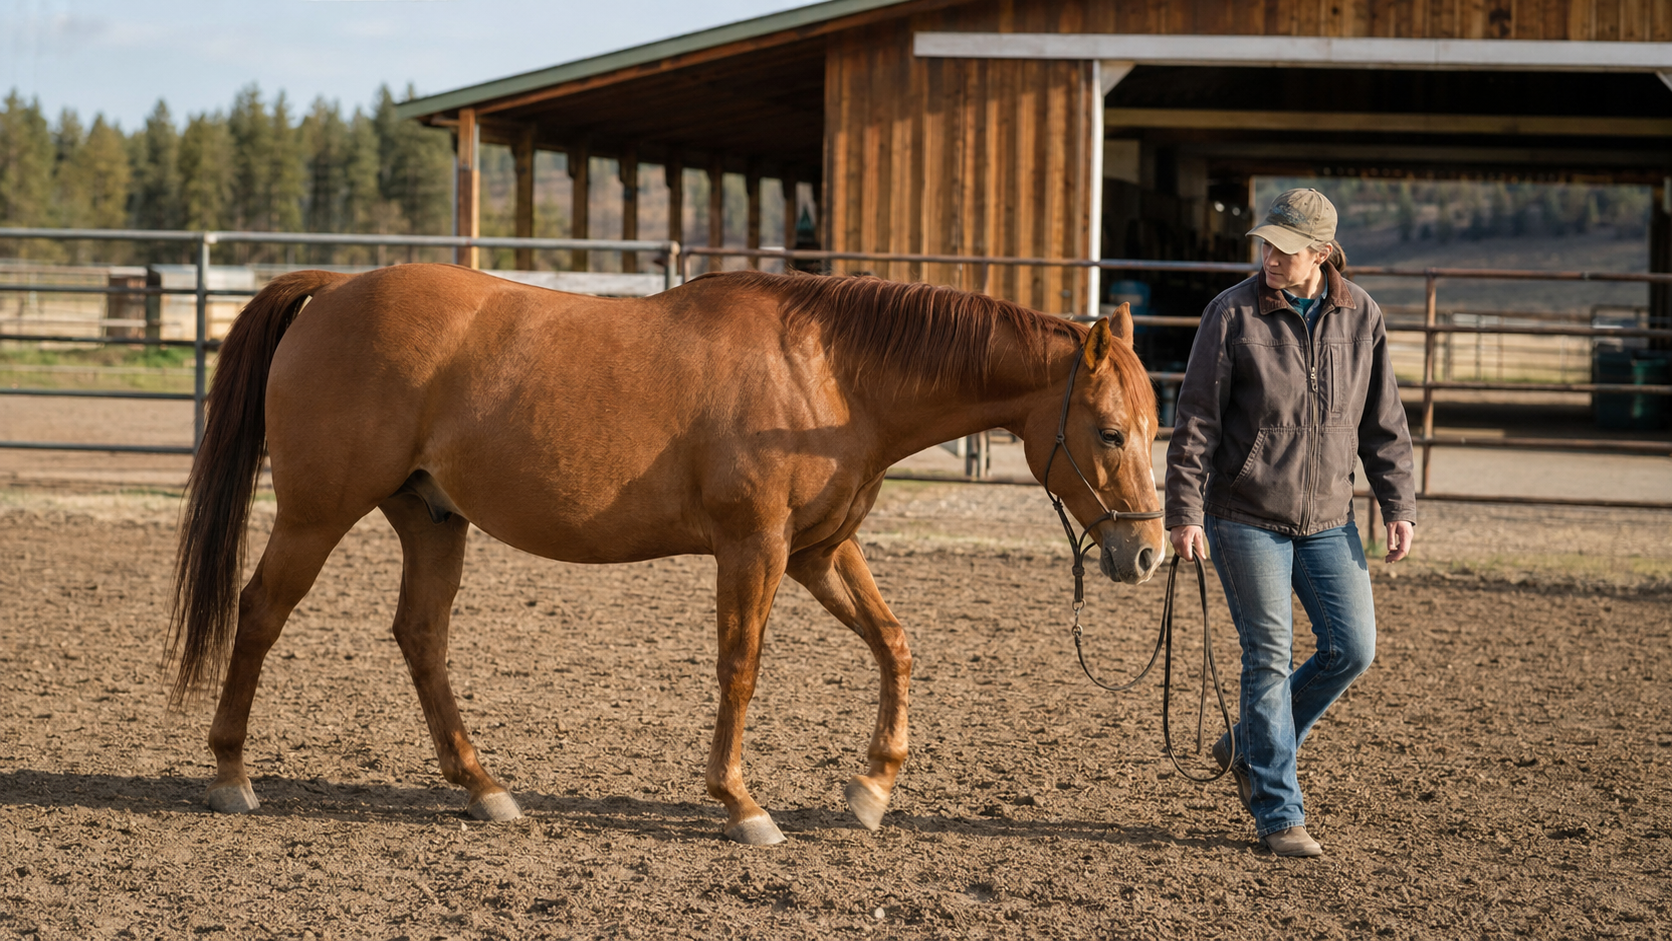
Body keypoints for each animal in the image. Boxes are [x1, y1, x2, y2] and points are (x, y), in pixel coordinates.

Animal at [169, 264, 1164, 845]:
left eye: (1155, 429)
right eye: (1111, 432)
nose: (1149, 550)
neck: (830, 373)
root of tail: (336, 285)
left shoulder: (820, 550)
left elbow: (895, 643)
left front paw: (873, 786)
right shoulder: (755, 547)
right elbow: (740, 665)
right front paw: (742, 804)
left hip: (431, 519)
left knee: (421, 638)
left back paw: (484, 786)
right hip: (314, 515)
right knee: (260, 613)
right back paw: (231, 775)